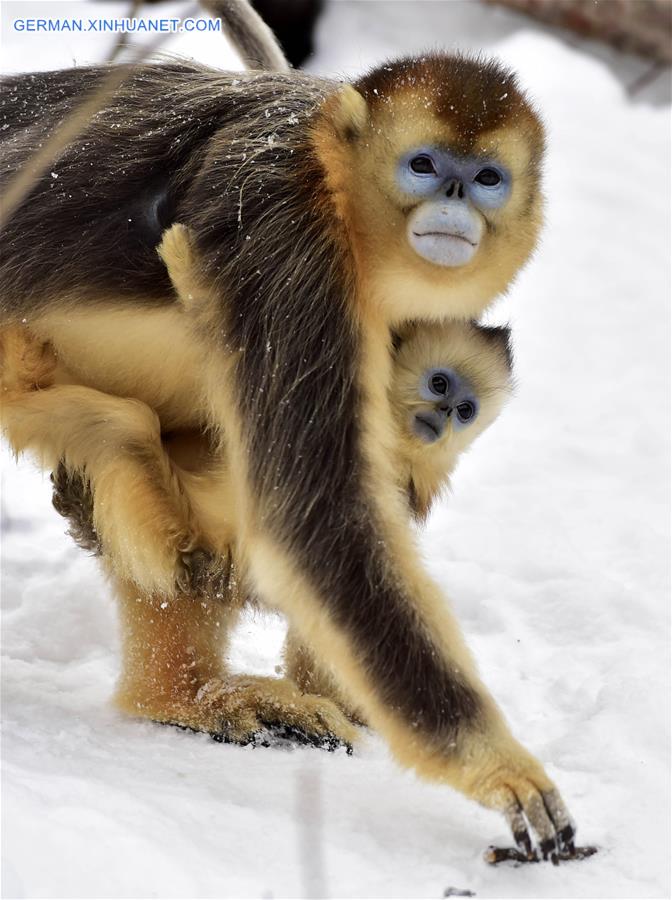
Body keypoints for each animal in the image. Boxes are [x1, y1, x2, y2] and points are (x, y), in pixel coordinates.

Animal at [0, 42, 576, 856]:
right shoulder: (285, 240)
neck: (330, 178)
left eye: (490, 177)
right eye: (424, 165)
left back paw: (185, 696)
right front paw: (502, 769)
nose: (458, 197)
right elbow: (319, 525)